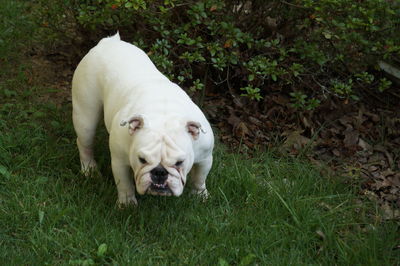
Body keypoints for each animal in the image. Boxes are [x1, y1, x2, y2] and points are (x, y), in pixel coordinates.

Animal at [72, 32, 216, 205]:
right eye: (142, 159)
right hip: (85, 116)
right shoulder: (120, 161)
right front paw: (127, 203)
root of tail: (108, 42)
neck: (164, 113)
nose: (159, 172)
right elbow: (124, 184)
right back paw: (90, 170)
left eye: (179, 163)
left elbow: (200, 178)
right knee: (85, 143)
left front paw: (200, 195)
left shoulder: (205, 158)